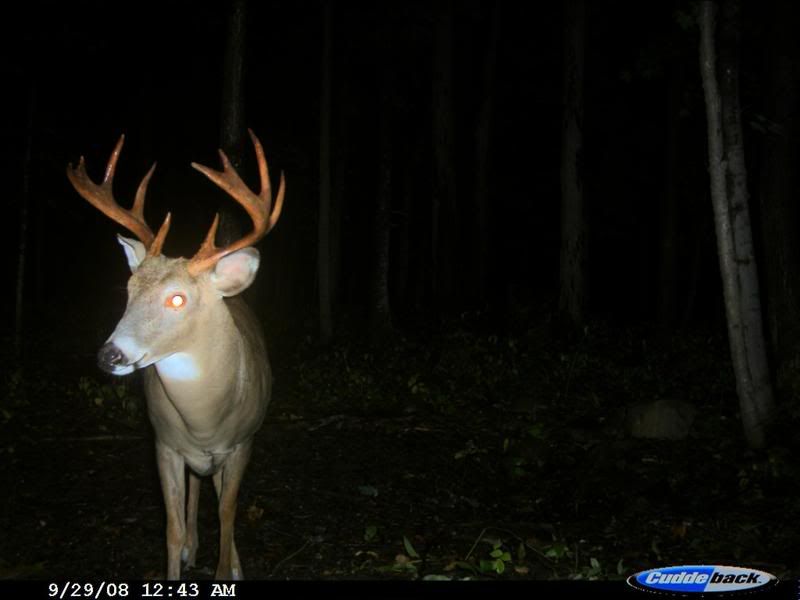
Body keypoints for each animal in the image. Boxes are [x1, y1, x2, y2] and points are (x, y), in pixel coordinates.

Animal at [66, 130, 285, 580]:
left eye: (178, 298)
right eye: (129, 289)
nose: (109, 355)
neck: (205, 419)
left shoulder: (243, 442)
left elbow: (227, 514)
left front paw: (225, 571)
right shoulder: (164, 443)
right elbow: (172, 528)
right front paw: (180, 559)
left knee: (216, 495)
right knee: (197, 490)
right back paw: (193, 549)